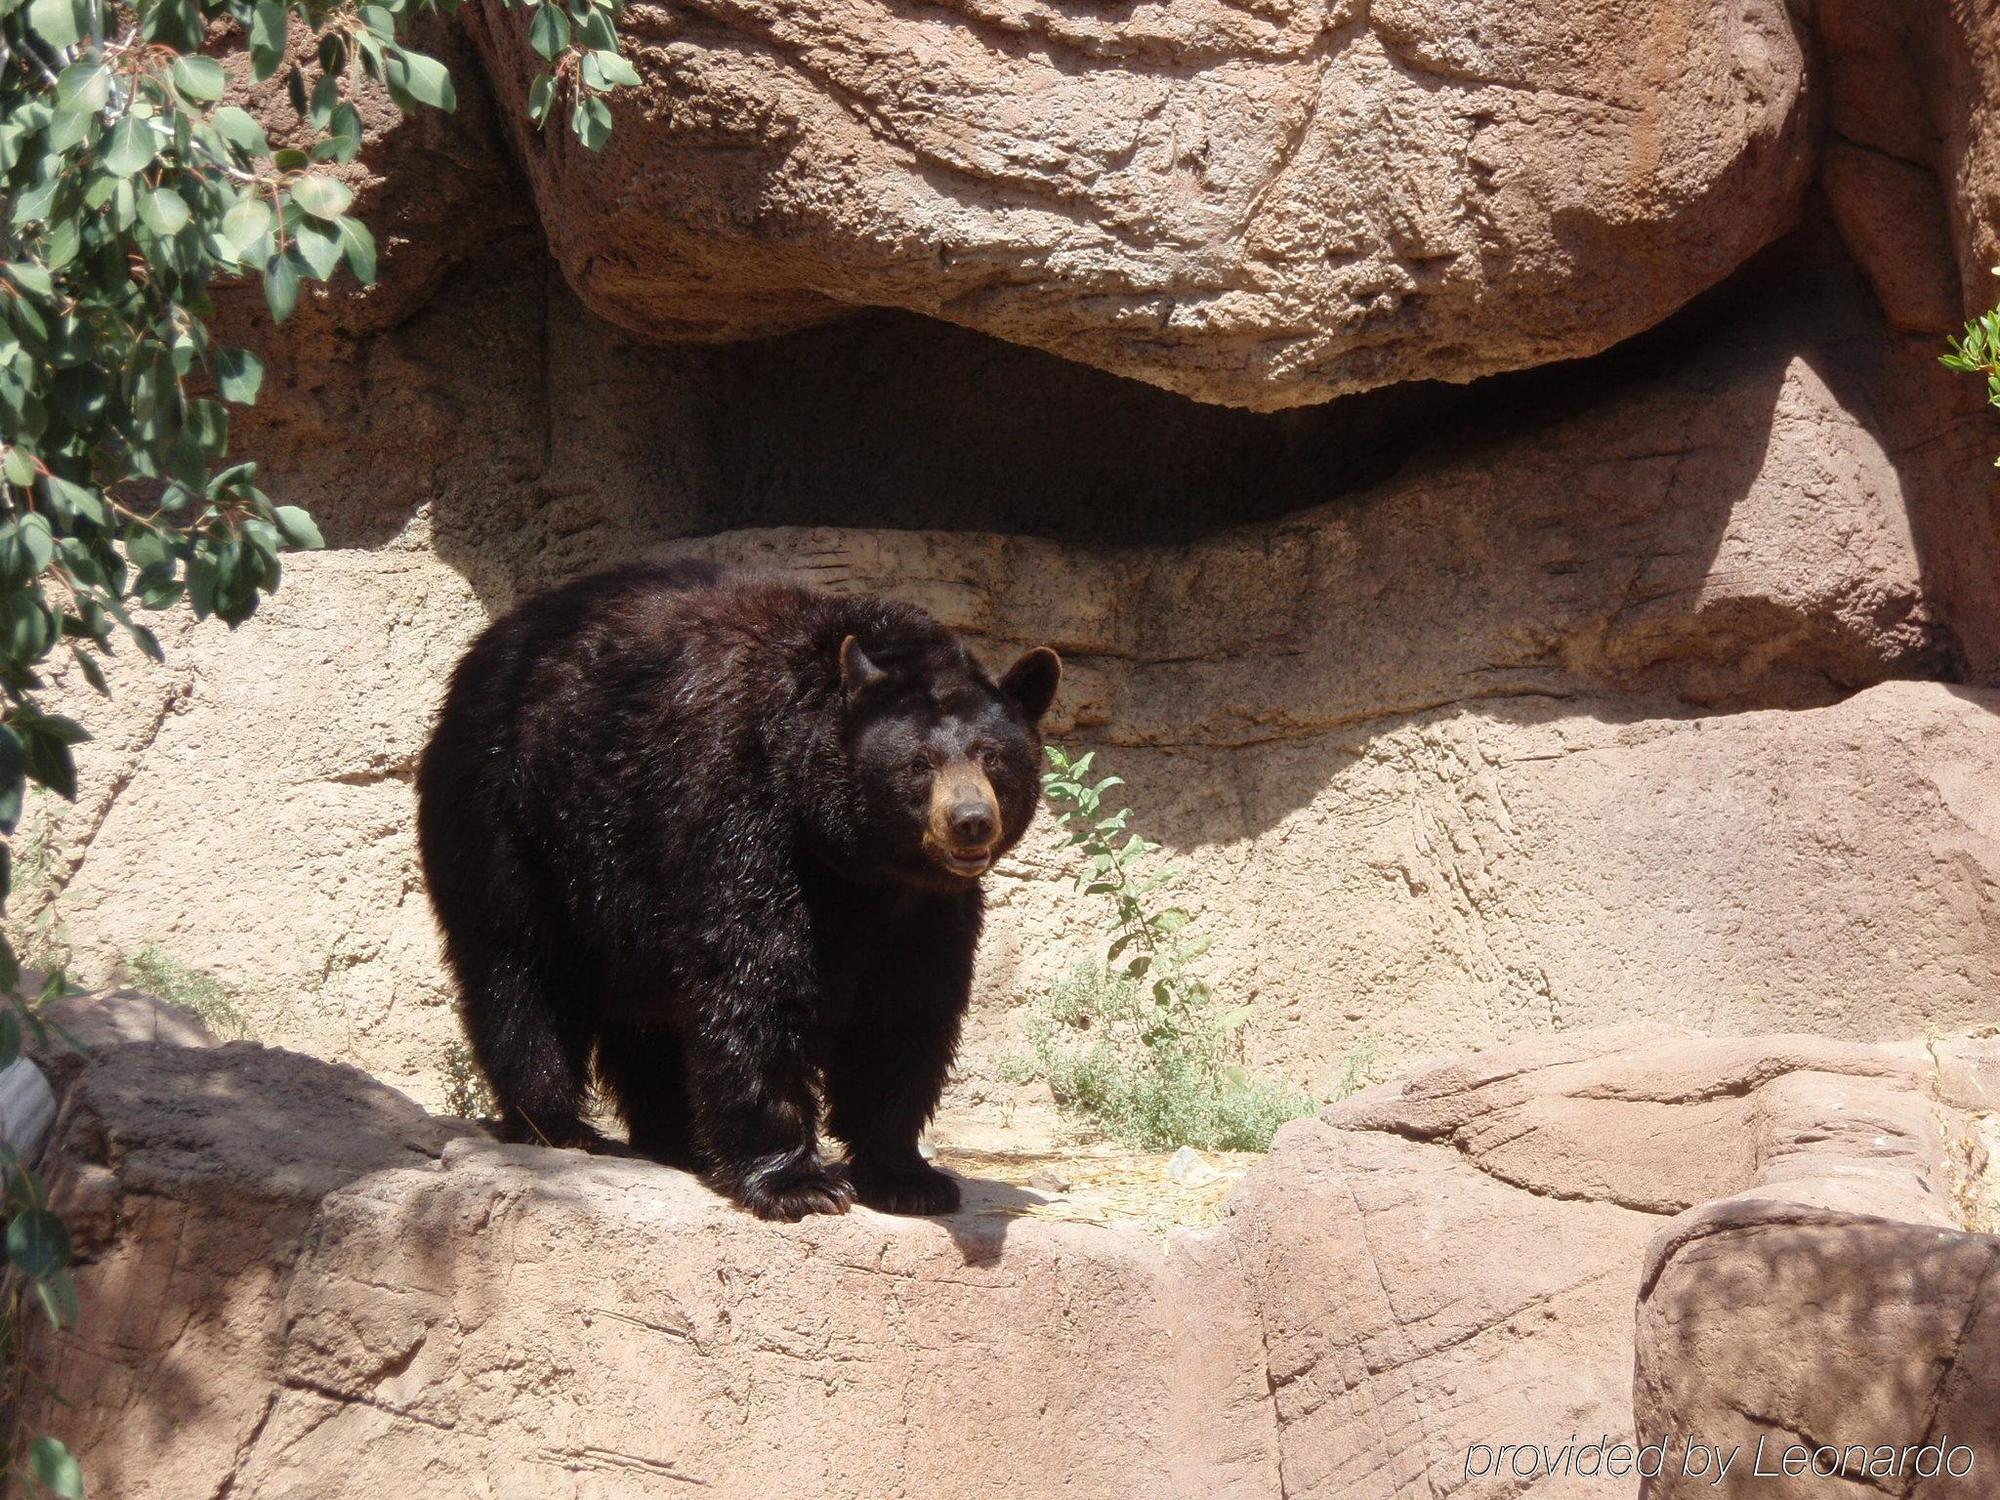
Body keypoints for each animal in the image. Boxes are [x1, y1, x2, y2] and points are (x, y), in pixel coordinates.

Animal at [418, 564, 1064, 1224]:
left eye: (993, 756)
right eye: (919, 762)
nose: (970, 821)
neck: (855, 860)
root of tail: (492, 641)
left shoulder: (926, 905)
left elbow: (905, 1008)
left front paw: (908, 1176)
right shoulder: (742, 812)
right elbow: (755, 981)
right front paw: (798, 1183)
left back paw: (677, 1137)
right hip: (513, 816)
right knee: (521, 966)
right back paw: (557, 1123)